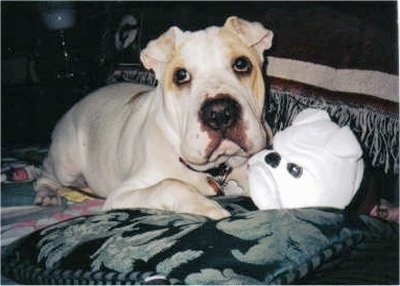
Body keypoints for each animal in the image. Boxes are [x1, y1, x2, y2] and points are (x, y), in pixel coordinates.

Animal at [34, 16, 274, 219]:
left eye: (241, 64)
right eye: (181, 76)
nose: (220, 112)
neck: (216, 169)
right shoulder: (122, 194)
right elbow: (169, 184)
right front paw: (206, 206)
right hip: (66, 165)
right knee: (45, 172)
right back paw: (47, 194)